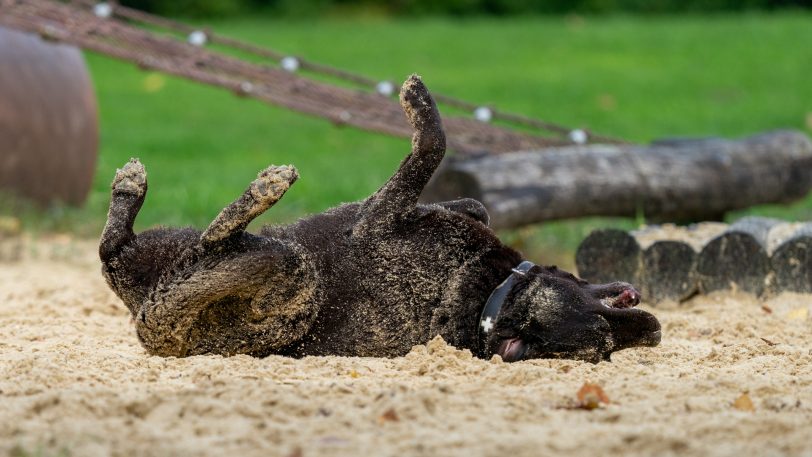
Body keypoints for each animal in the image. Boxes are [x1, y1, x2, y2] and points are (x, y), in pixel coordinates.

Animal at [100, 77, 660, 364]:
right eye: (608, 334)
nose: (653, 329)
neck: (488, 299)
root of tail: (144, 323)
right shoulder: (429, 211)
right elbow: (460, 193)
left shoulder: (376, 217)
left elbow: (432, 146)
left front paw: (419, 104)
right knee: (120, 250)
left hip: (290, 278)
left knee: (194, 243)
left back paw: (261, 189)